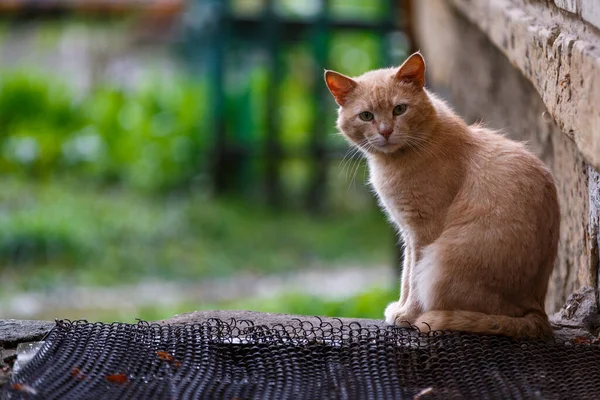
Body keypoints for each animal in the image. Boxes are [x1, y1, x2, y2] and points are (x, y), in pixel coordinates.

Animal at [326, 52, 560, 338]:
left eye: (399, 109)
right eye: (366, 116)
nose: (385, 131)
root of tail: (537, 312)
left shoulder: (424, 230)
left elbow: (413, 279)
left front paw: (408, 314)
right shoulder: (408, 233)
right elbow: (406, 275)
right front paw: (400, 308)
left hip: (439, 262)